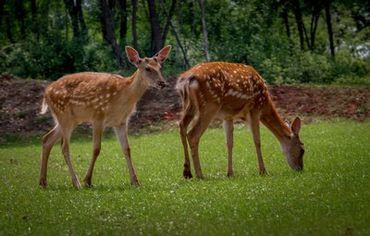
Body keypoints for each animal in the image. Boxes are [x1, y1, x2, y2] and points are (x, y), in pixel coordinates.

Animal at [39, 45, 172, 188]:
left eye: (159, 67)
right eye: (147, 68)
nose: (163, 83)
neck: (122, 97)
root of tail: (46, 93)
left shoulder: (121, 121)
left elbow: (127, 148)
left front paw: (135, 181)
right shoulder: (98, 116)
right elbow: (96, 149)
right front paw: (88, 180)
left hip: (70, 119)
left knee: (47, 139)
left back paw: (43, 182)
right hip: (64, 114)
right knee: (64, 147)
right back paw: (76, 183)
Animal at [176, 61, 304, 178]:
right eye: (303, 150)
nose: (300, 168)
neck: (265, 103)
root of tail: (186, 79)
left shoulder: (228, 116)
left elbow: (229, 143)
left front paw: (230, 173)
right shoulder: (255, 109)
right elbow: (257, 141)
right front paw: (263, 171)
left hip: (188, 105)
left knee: (182, 126)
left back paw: (187, 172)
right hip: (210, 105)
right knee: (192, 135)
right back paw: (199, 174)